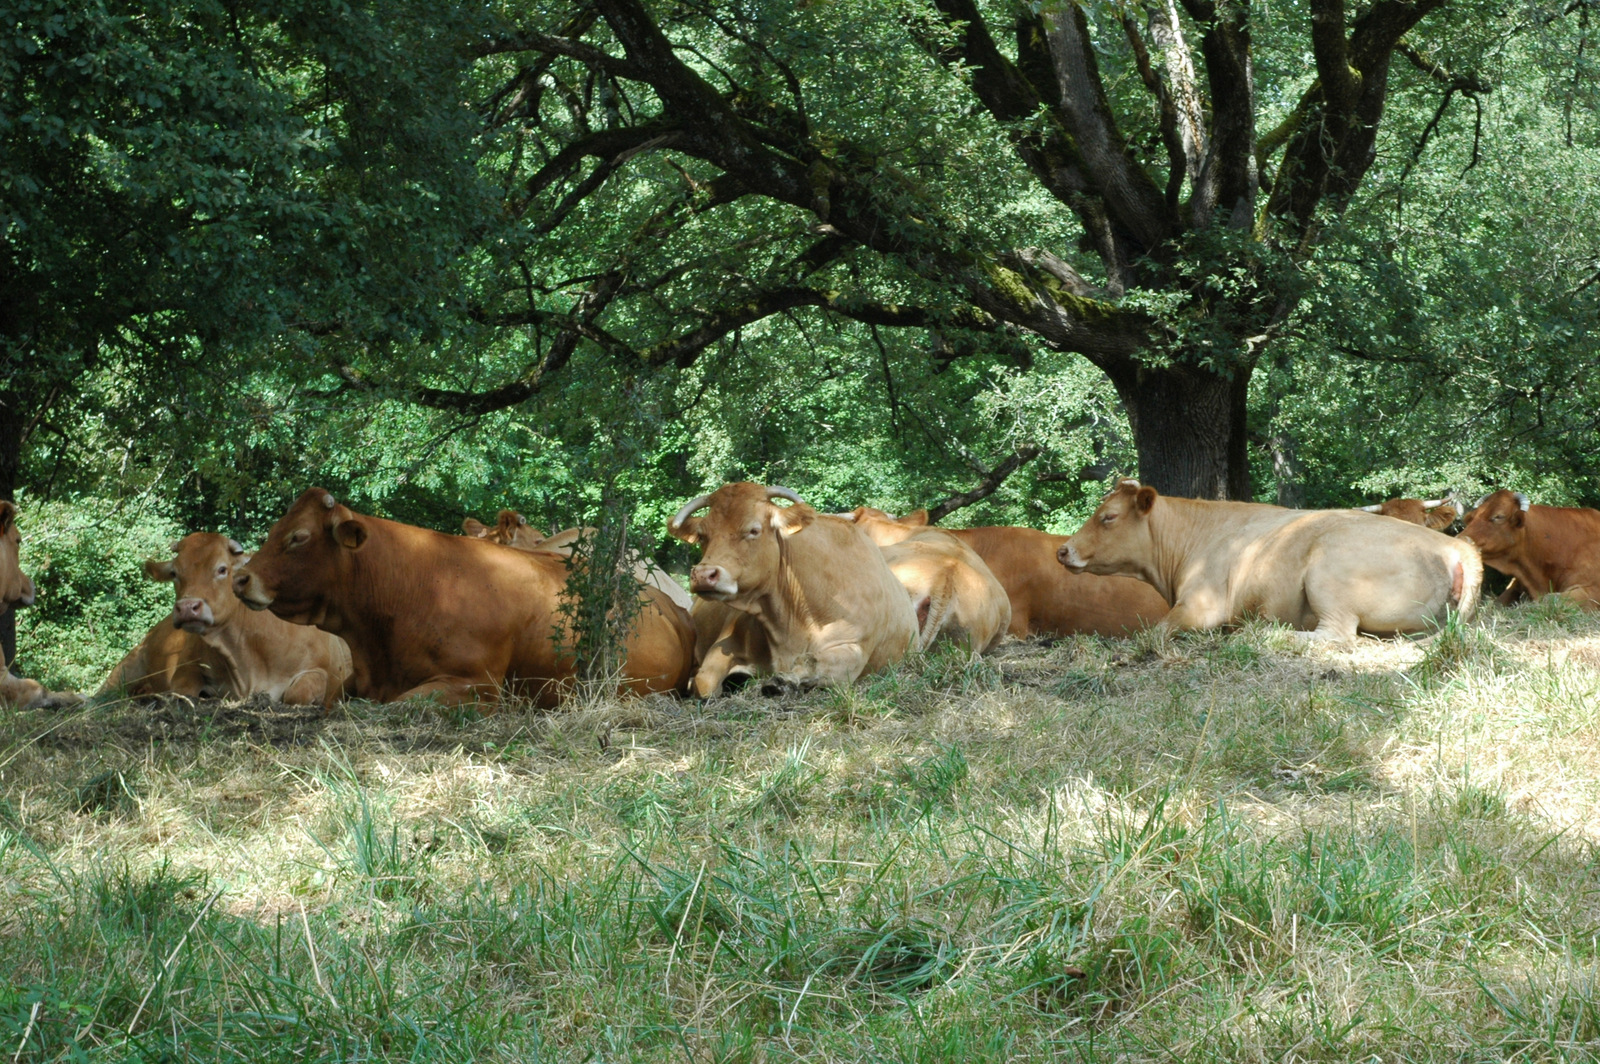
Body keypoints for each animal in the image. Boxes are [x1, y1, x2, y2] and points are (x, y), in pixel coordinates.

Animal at [99, 533, 351, 705]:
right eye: (175, 573)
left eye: (222, 569)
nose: (187, 608)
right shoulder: (186, 667)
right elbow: (182, 689)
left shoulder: (324, 671)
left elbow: (299, 693)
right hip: (126, 668)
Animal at [668, 483, 917, 697]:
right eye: (702, 535)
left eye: (754, 530)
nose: (703, 575)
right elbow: (705, 682)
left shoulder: (853, 650)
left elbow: (813, 662)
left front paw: (785, 682)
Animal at [1058, 480, 1482, 639]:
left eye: (1108, 516)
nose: (1063, 550)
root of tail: (1455, 547)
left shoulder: (1200, 606)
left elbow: (1154, 631)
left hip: (1328, 578)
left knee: (1336, 635)